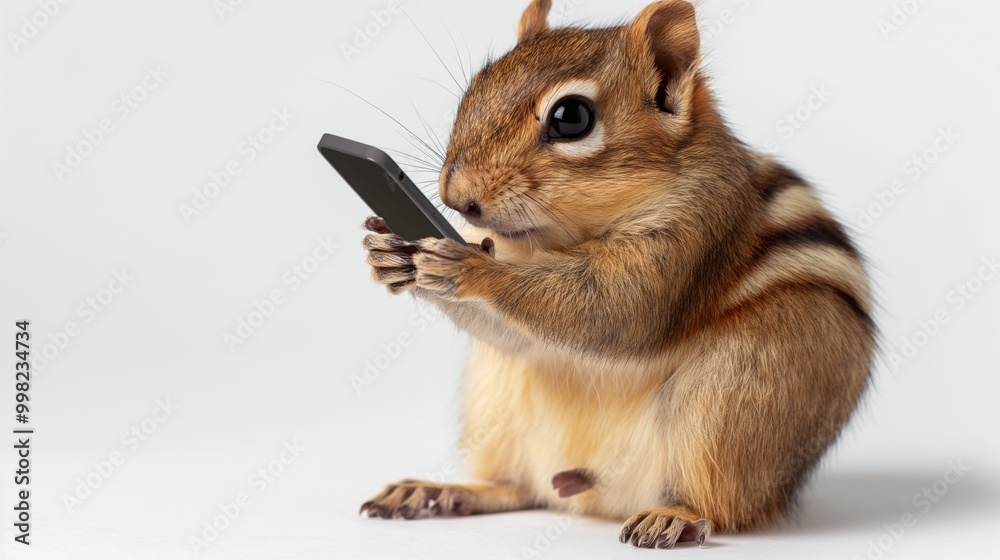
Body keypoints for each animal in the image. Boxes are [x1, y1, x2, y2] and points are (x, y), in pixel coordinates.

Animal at [358, 0, 874, 550]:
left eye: (571, 117)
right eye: (476, 86)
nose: (454, 197)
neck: (559, 237)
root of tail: (600, 496)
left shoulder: (694, 234)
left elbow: (613, 310)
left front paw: (474, 267)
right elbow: (524, 334)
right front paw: (386, 252)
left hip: (735, 394)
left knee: (721, 504)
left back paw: (675, 515)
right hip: (495, 396)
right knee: (519, 487)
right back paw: (439, 491)